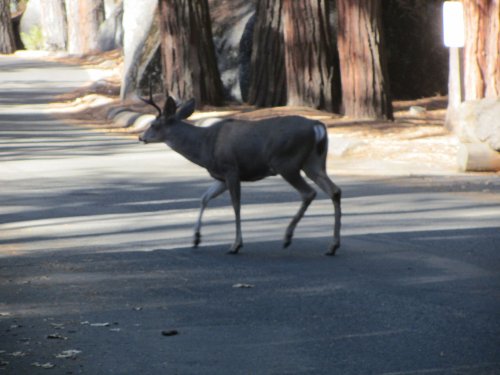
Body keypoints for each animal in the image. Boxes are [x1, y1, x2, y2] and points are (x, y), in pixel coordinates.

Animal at [139, 92, 342, 256]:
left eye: (154, 124)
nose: (141, 137)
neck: (205, 145)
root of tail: (317, 126)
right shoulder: (221, 176)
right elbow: (204, 198)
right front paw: (196, 238)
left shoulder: (231, 169)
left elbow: (236, 205)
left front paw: (236, 245)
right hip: (314, 163)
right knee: (334, 191)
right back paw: (332, 246)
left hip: (286, 162)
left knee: (309, 192)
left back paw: (287, 237)